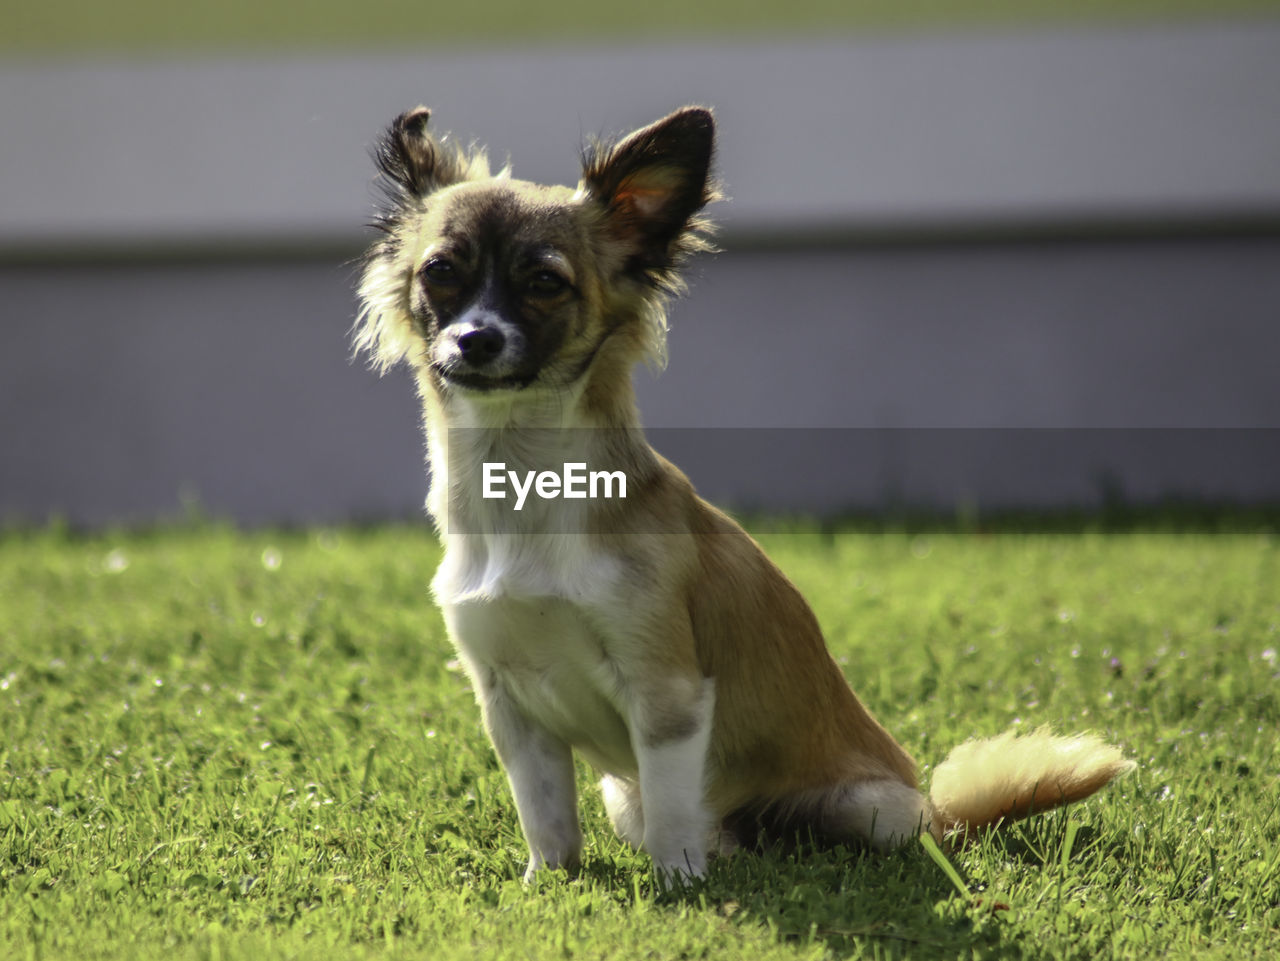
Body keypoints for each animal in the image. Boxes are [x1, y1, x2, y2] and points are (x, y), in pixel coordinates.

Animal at [350, 108, 1131, 885]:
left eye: (545, 282)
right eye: (440, 273)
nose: (475, 339)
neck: (521, 484)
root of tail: (943, 818)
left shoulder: (667, 692)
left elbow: (672, 816)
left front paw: (678, 887)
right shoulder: (511, 706)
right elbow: (546, 819)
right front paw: (549, 885)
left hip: (873, 808)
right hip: (621, 798)